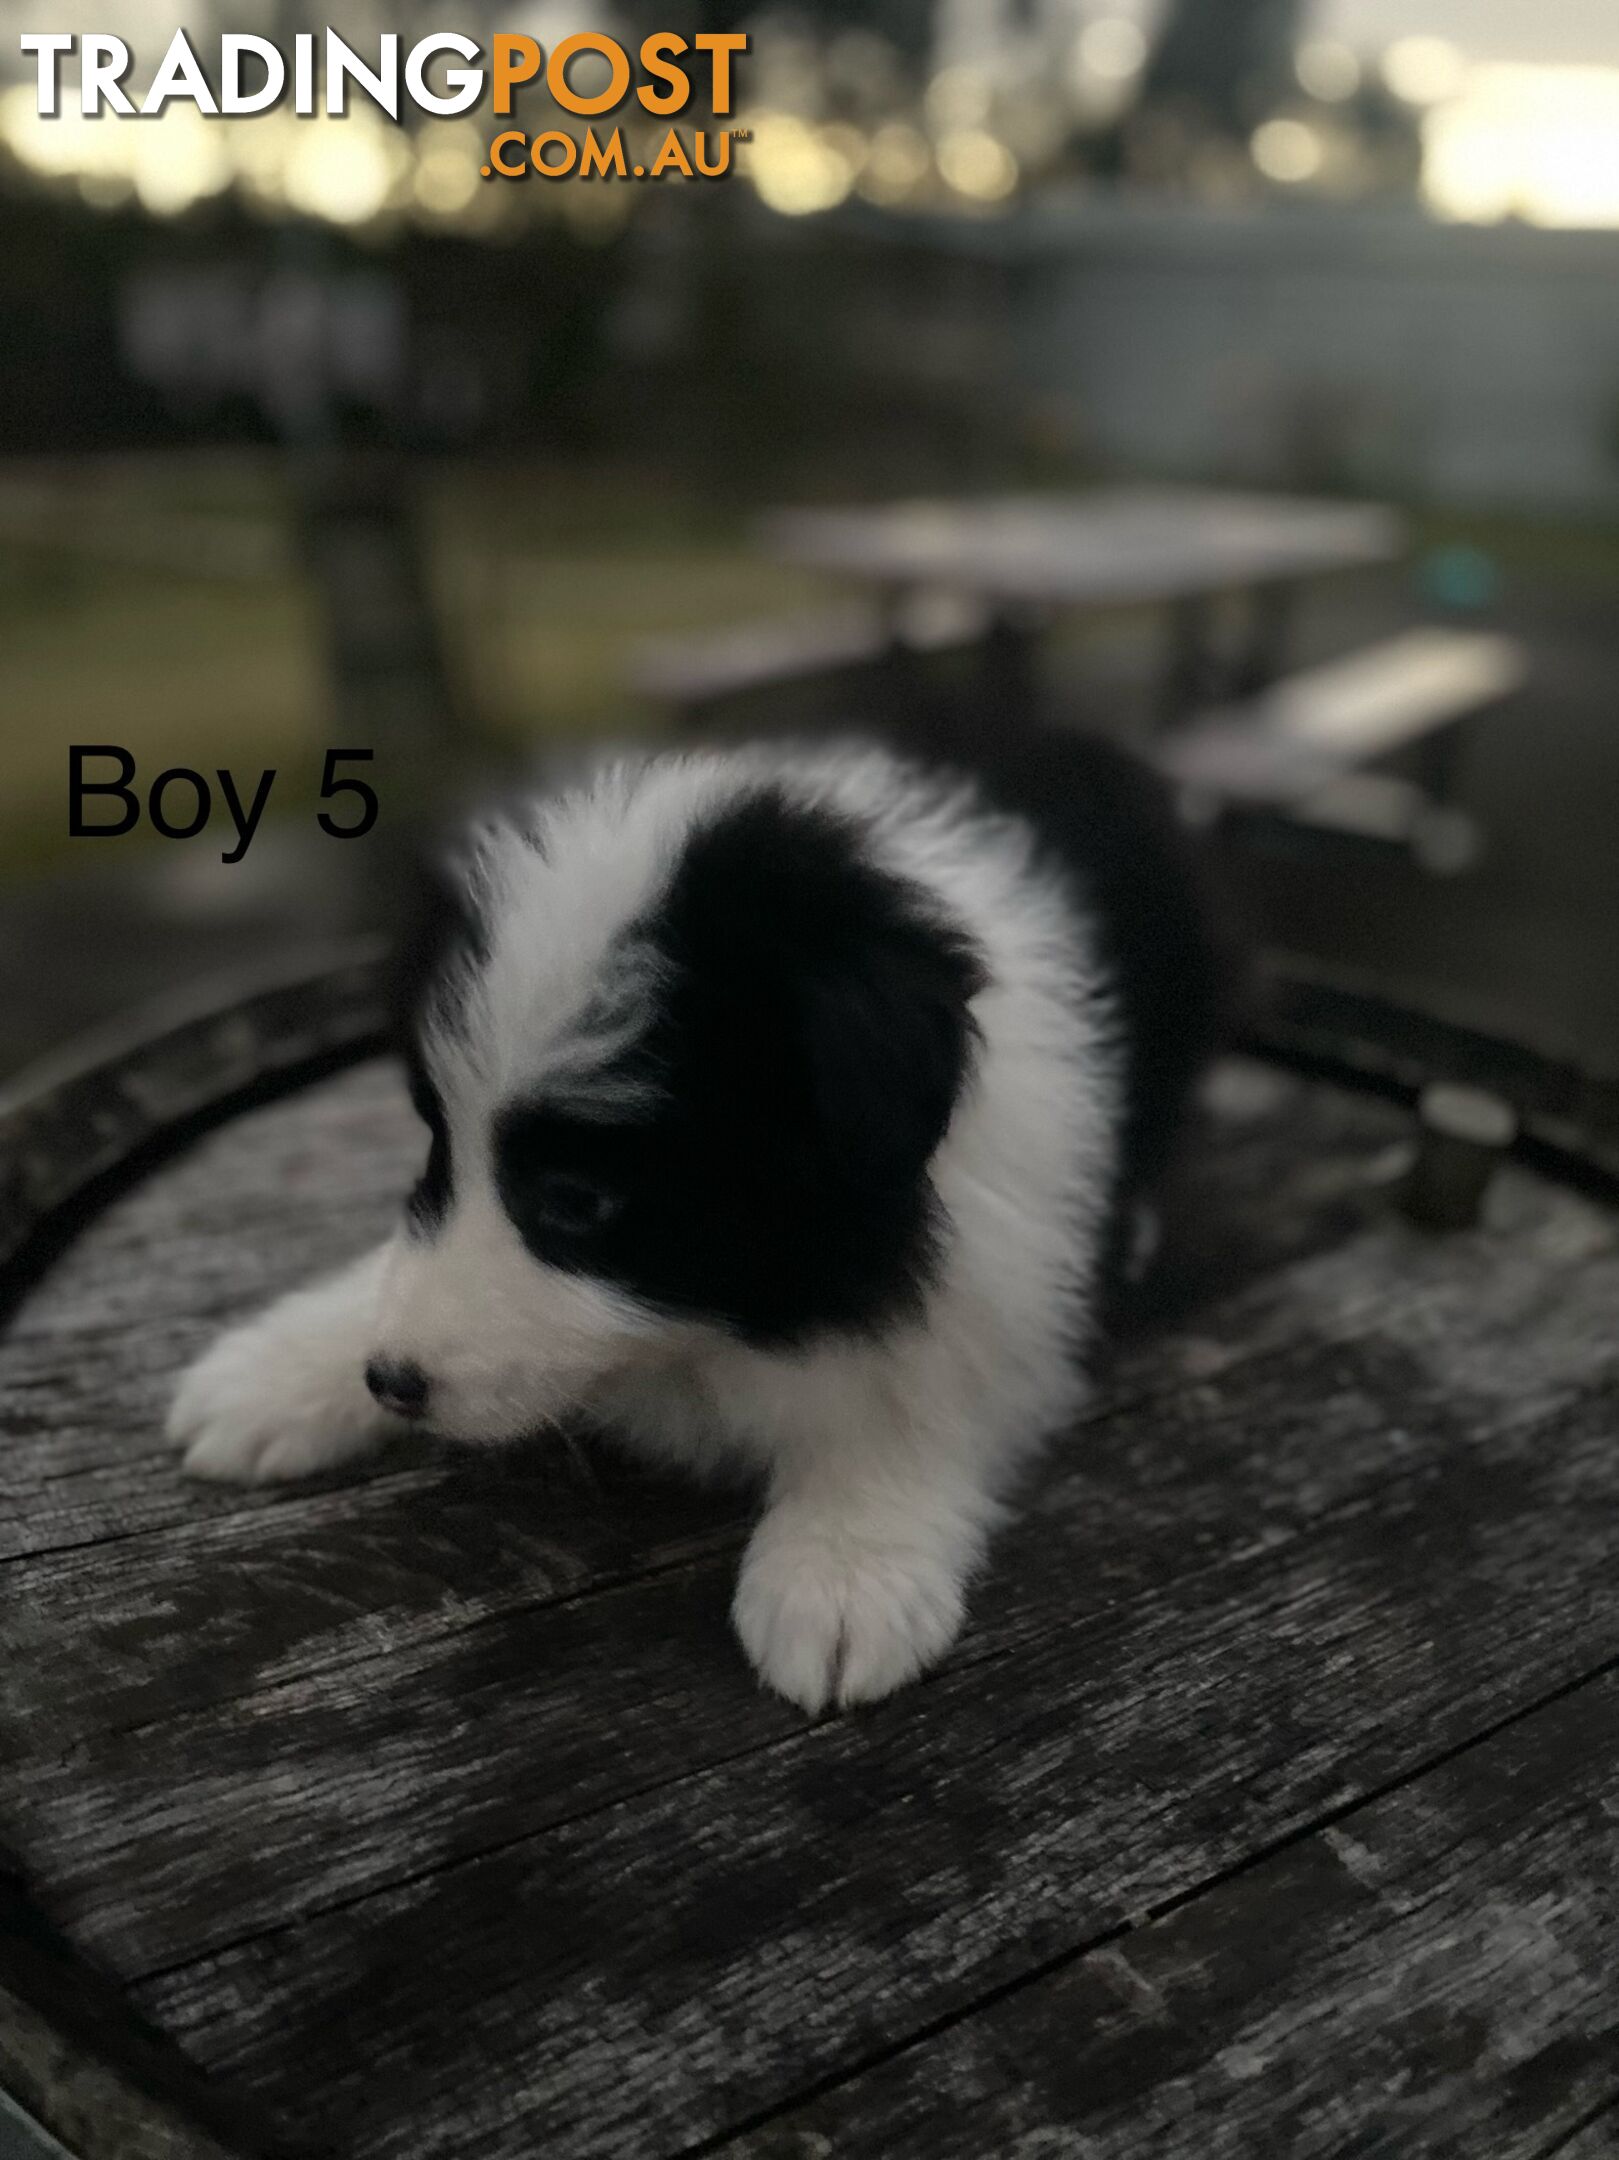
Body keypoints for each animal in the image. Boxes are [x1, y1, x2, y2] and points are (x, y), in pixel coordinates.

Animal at [171, 725, 1226, 1702]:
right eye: (434, 1143)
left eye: (577, 1200)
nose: (392, 1381)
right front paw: (281, 1371)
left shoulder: (1003, 1231)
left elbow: (922, 1374)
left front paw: (844, 1568)